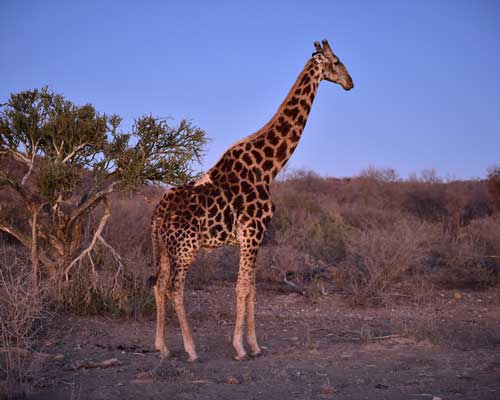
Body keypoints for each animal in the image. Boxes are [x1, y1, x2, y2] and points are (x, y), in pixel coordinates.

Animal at [150, 39, 354, 360]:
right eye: (336, 61)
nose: (350, 83)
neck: (268, 168)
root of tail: (157, 213)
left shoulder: (253, 238)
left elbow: (252, 289)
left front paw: (255, 345)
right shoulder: (252, 233)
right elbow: (242, 289)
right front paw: (240, 348)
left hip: (166, 248)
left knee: (159, 286)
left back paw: (162, 347)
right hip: (186, 247)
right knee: (174, 289)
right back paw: (191, 349)